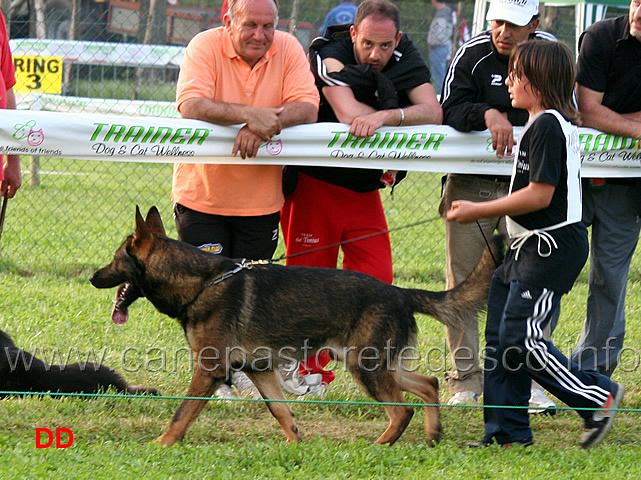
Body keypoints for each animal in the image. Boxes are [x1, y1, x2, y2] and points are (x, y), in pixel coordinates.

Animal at [90, 206, 502, 446]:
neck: (201, 282)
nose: (93, 277)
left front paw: (162, 443)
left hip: (366, 367)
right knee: (428, 385)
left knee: (402, 411)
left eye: (114, 259)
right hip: (376, 365)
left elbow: (182, 413)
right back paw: (432, 435)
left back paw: (381, 445)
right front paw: (294, 444)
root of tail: (399, 292)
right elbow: (282, 412)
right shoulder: (260, 370)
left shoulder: (208, 370)